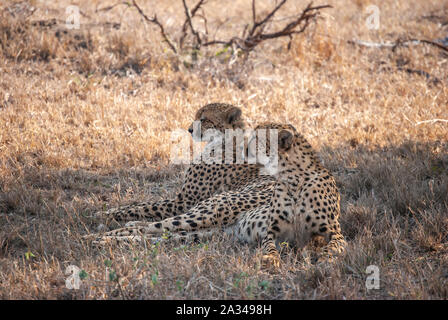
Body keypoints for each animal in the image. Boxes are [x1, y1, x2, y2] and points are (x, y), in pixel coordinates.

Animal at [87, 123, 346, 268]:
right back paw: (100, 236)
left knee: (152, 235)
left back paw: (103, 238)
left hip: (200, 231)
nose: (245, 148)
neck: (294, 181)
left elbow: (336, 247)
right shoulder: (271, 232)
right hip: (202, 217)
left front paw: (326, 260)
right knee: (149, 227)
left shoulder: (334, 233)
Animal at [96, 102, 274, 222]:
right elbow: (143, 203)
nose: (189, 130)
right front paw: (110, 209)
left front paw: (108, 214)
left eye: (204, 119)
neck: (225, 142)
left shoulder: (185, 201)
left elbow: (149, 206)